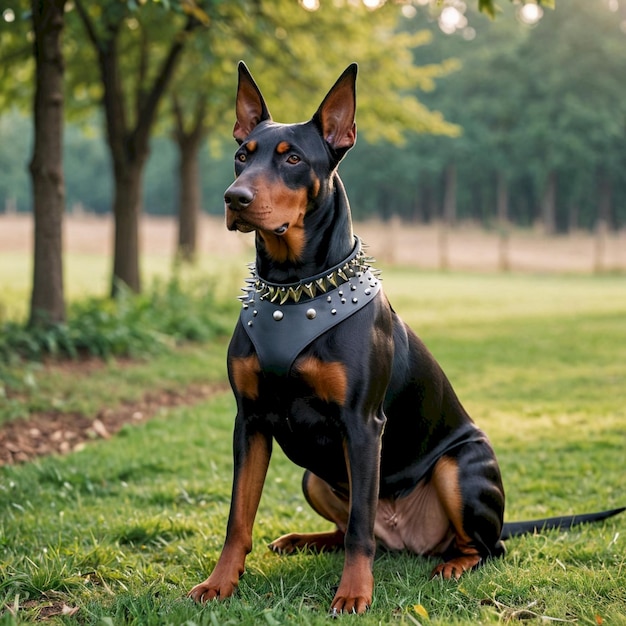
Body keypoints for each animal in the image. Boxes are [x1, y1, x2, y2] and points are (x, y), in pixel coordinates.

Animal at [188, 64, 620, 616]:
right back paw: (304, 540)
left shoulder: (362, 424)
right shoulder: (250, 420)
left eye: (293, 158)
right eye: (242, 155)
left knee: (479, 545)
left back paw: (451, 564)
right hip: (316, 477)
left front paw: (353, 594)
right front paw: (219, 583)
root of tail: (406, 539)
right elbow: (238, 519)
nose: (234, 198)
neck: (294, 287)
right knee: (353, 528)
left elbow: (358, 530)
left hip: (460, 466)